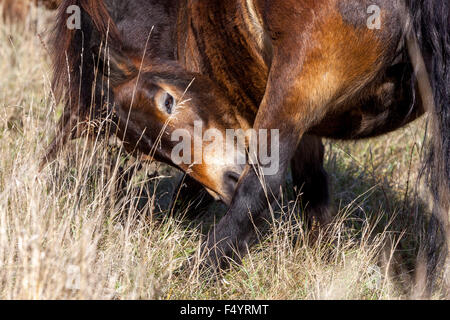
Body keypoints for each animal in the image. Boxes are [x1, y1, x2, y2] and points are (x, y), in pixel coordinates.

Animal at [47, 0, 448, 282]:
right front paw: (323, 264)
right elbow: (314, 189)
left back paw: (191, 273)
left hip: (297, 77)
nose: (226, 182)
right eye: (150, 152)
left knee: (260, 186)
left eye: (167, 101)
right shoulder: (304, 133)